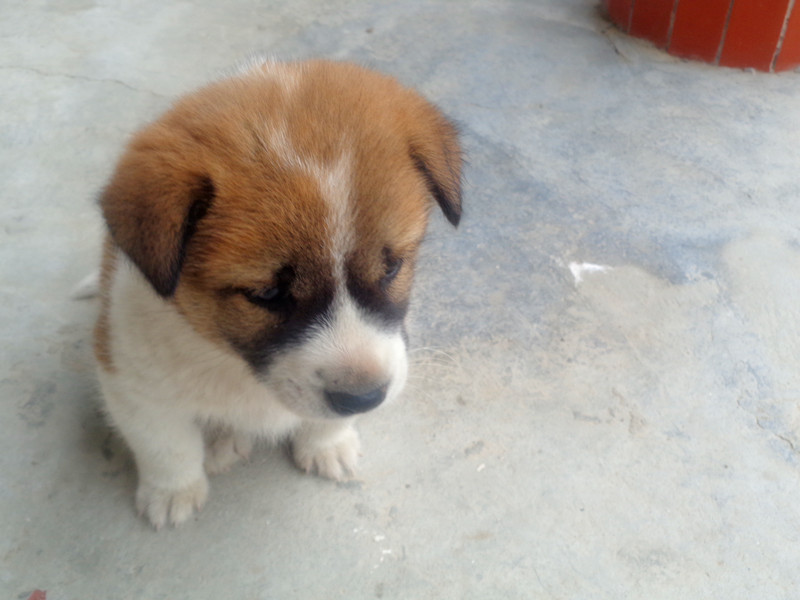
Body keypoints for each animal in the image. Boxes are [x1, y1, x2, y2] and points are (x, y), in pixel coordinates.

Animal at [93, 59, 462, 529]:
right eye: (266, 294)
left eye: (393, 267)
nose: (364, 397)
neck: (234, 364)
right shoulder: (131, 380)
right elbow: (165, 445)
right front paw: (172, 491)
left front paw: (327, 443)